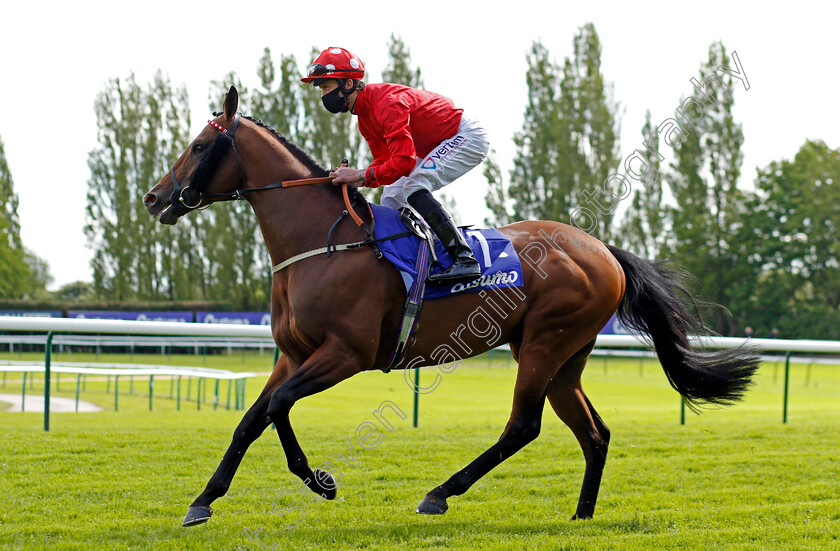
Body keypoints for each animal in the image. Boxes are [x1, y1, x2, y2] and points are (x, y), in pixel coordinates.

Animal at [141, 86, 756, 528]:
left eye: (200, 146)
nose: (152, 197)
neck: (325, 241)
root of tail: (602, 249)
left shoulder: (347, 354)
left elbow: (278, 407)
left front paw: (319, 480)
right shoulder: (293, 354)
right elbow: (253, 418)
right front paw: (204, 500)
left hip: (545, 341)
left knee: (523, 426)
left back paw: (439, 493)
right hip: (566, 355)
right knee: (594, 432)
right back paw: (582, 515)